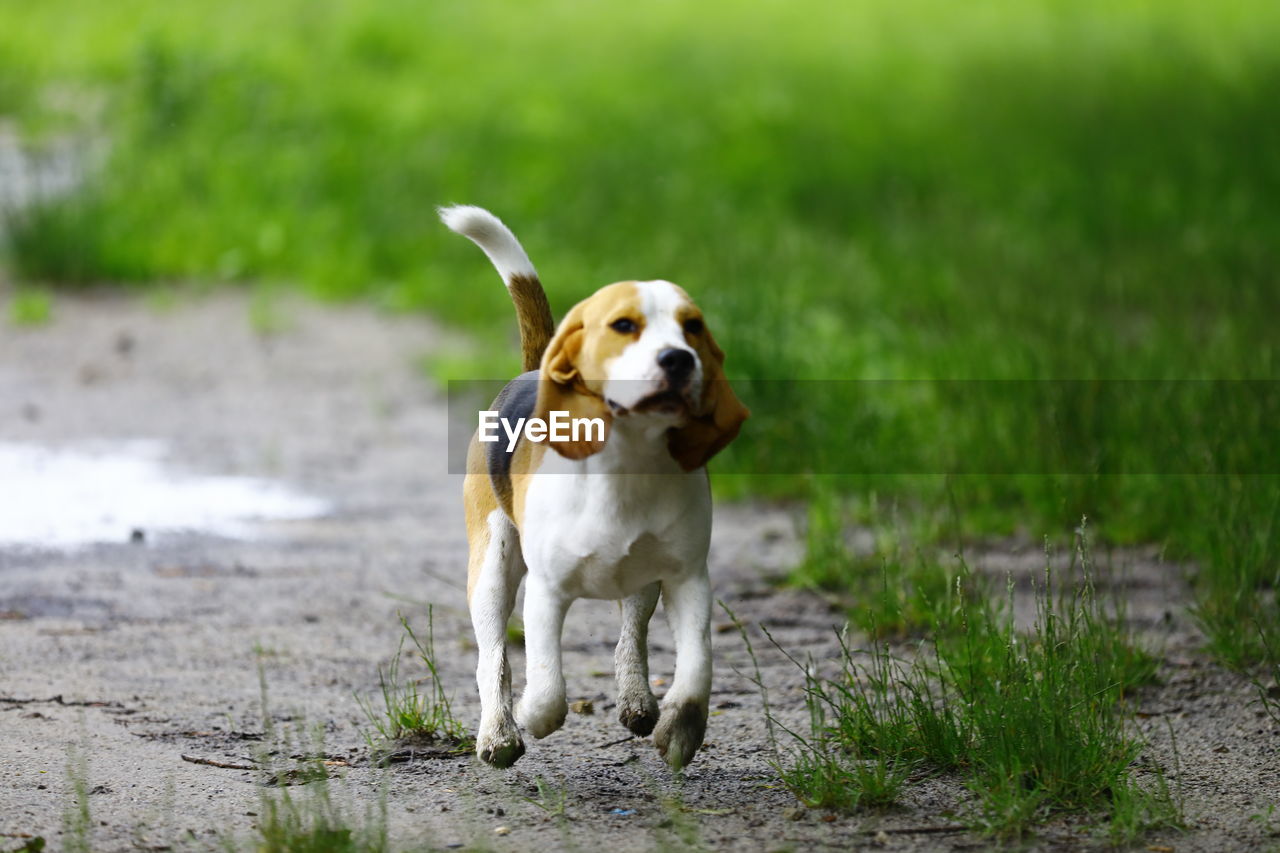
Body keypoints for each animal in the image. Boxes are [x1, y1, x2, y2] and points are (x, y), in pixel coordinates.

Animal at [440, 202, 747, 768]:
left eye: (692, 327)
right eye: (624, 326)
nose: (679, 359)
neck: (628, 461)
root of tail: (532, 370)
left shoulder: (688, 579)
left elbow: (698, 667)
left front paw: (681, 730)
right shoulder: (547, 590)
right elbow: (546, 683)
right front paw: (535, 715)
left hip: (643, 583)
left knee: (633, 635)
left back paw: (637, 700)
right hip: (492, 565)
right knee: (493, 656)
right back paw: (499, 732)